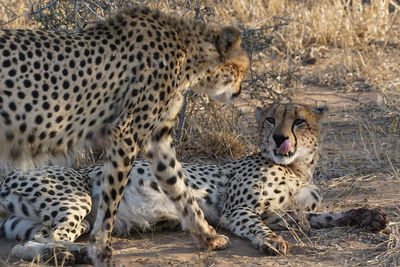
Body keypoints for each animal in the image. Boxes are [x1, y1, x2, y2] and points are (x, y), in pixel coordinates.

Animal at [0, 6, 250, 266]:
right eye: (241, 69)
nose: (239, 92)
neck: (188, 53)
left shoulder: (157, 139)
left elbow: (180, 188)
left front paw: (208, 237)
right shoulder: (125, 133)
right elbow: (111, 200)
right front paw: (101, 251)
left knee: (25, 242)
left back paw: (63, 252)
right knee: (41, 237)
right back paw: (64, 252)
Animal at [0, 103, 388, 264]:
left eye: (300, 121)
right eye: (270, 120)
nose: (279, 138)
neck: (297, 167)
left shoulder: (287, 214)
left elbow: (323, 216)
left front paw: (369, 217)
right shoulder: (238, 210)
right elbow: (260, 226)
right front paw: (272, 243)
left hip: (44, 218)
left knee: (28, 241)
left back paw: (71, 253)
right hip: (77, 197)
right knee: (33, 244)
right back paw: (77, 254)